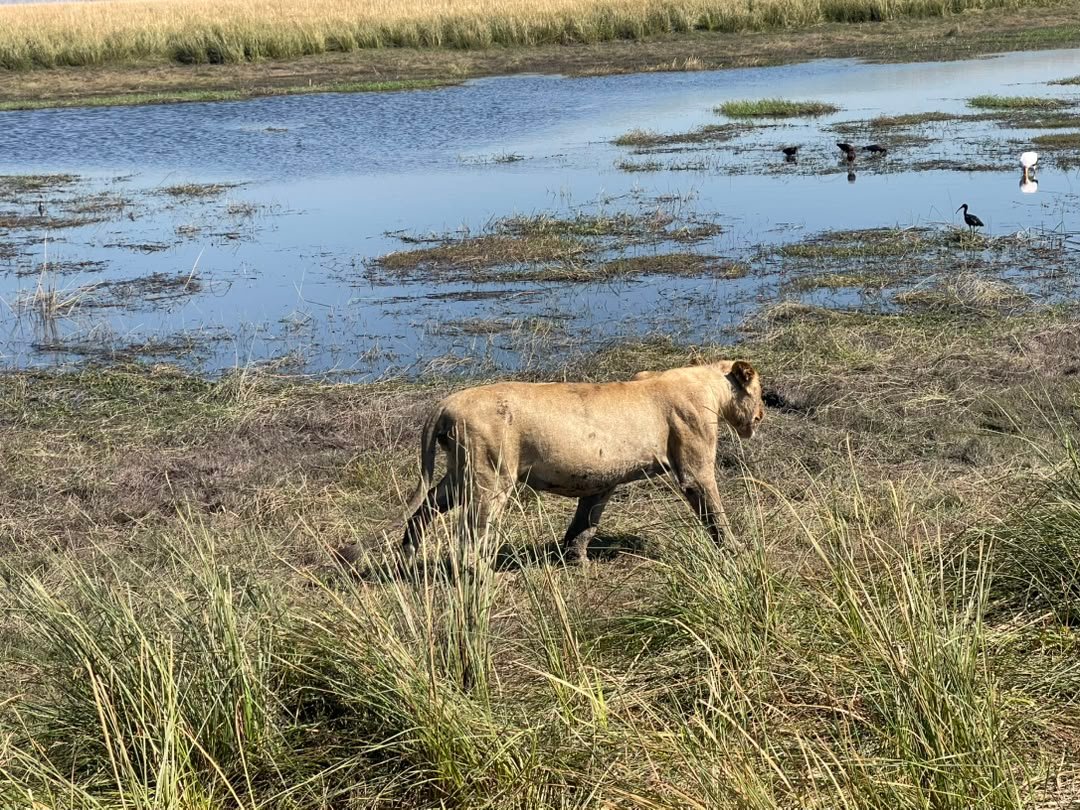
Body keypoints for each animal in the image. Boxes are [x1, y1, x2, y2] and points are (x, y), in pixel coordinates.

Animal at [351, 360, 764, 566]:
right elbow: (714, 510)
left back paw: (408, 555)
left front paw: (575, 560)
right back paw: (478, 573)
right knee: (471, 533)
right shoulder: (694, 464)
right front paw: (736, 550)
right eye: (758, 389)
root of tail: (445, 403)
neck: (708, 383)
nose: (761, 414)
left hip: (460, 474)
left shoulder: (602, 479)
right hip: (490, 477)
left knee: (424, 509)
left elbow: (585, 523)